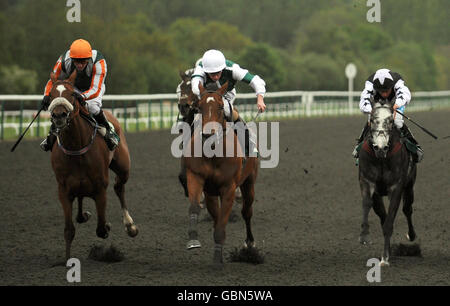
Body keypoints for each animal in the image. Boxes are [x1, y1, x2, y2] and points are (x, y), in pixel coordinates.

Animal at [47, 70, 139, 260]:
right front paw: (67, 260)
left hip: (123, 167)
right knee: (81, 200)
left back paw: (130, 225)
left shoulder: (100, 188)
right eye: (51, 95)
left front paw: (109, 227)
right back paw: (84, 214)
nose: (59, 116)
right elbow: (69, 230)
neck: (76, 146)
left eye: (72, 94)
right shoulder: (63, 190)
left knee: (119, 187)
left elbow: (101, 229)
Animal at [183, 82, 258, 264]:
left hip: (249, 182)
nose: (207, 134)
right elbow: (196, 207)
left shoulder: (229, 187)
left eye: (220, 107)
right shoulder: (197, 179)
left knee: (247, 212)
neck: (214, 154)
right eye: (199, 107)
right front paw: (193, 239)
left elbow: (224, 219)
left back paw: (250, 244)